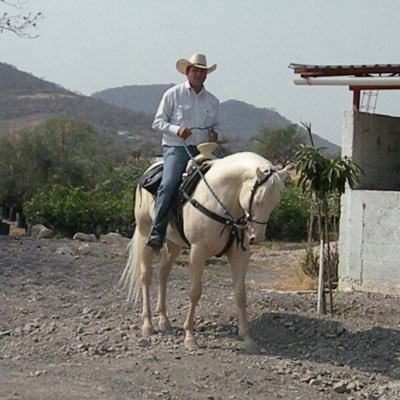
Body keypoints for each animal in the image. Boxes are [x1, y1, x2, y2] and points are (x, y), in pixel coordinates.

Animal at [119, 151, 290, 354]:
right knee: (146, 276)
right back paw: (148, 325)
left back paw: (164, 320)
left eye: (275, 202)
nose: (257, 236)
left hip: (174, 244)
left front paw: (247, 338)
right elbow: (195, 292)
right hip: (146, 234)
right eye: (258, 199)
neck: (222, 203)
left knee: (163, 274)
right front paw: (189, 336)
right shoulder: (197, 252)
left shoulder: (240, 255)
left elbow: (240, 294)